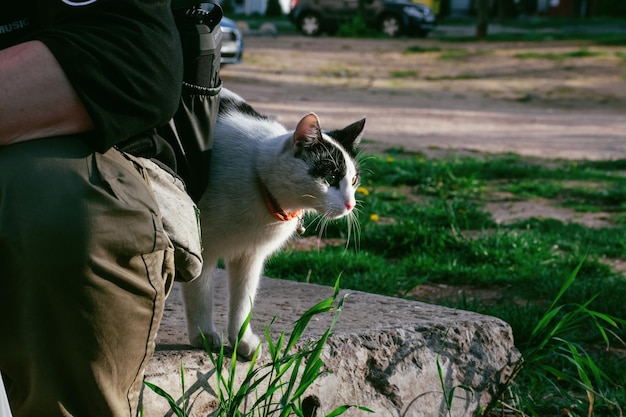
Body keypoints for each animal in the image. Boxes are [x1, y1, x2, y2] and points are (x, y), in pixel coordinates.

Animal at [180, 88, 364, 358]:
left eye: (353, 180)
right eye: (330, 177)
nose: (351, 204)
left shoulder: (250, 255)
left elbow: (243, 301)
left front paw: (241, 341)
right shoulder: (201, 247)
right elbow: (200, 294)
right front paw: (203, 337)